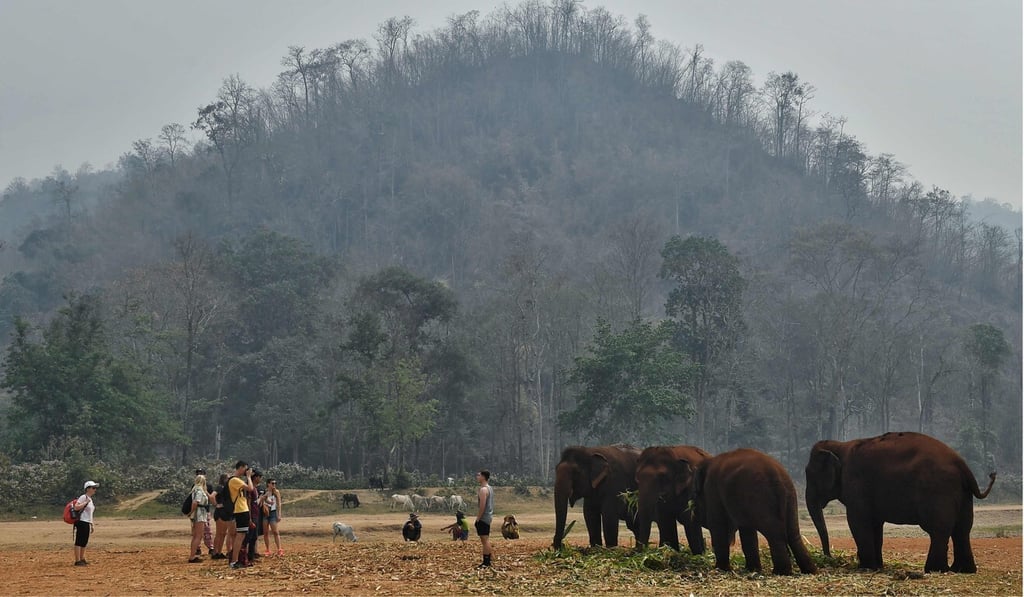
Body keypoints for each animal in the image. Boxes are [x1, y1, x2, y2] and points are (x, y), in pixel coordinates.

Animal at [805, 431, 996, 573]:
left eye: (809, 474)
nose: (829, 557)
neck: (840, 445)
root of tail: (963, 465)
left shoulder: (855, 484)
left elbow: (857, 522)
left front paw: (866, 568)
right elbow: (875, 524)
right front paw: (877, 567)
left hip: (938, 490)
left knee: (939, 529)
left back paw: (934, 569)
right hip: (964, 494)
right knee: (962, 529)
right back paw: (963, 570)